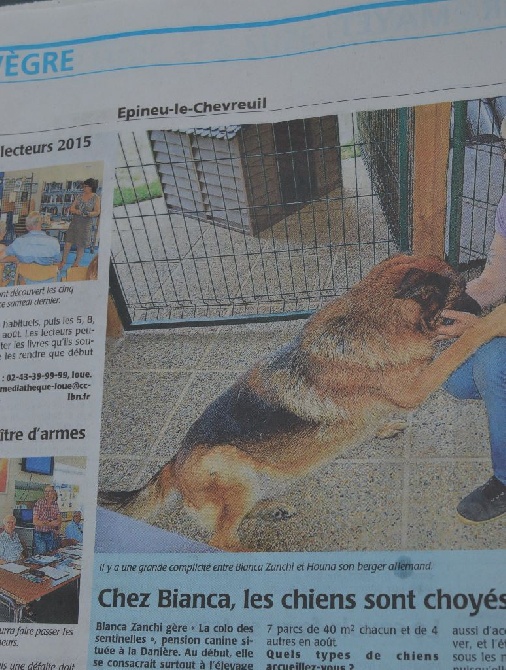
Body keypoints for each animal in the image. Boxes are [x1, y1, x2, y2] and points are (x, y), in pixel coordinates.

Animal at [100, 258, 506, 552]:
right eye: (462, 292)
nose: (484, 303)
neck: (374, 323)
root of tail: (174, 462)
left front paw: (383, 425)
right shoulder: (415, 386)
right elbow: (463, 341)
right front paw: (494, 321)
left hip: (252, 480)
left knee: (234, 521)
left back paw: (271, 509)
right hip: (230, 466)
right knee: (221, 540)